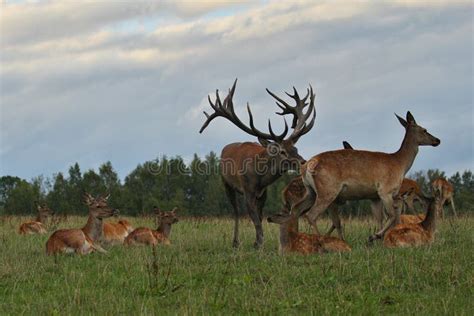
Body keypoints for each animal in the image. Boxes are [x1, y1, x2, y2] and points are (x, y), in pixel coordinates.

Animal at [198, 79, 316, 249]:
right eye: (282, 152)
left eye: (295, 148)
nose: (303, 162)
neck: (260, 178)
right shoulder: (248, 190)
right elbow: (254, 219)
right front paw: (259, 243)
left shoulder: (263, 193)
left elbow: (259, 217)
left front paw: (257, 241)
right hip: (226, 183)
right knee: (235, 210)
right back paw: (235, 241)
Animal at [292, 111, 440, 242]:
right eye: (424, 129)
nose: (437, 140)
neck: (400, 164)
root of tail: (306, 166)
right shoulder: (385, 190)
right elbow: (391, 216)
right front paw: (373, 236)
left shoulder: (374, 197)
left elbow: (380, 219)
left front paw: (378, 241)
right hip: (327, 190)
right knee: (311, 214)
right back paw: (320, 240)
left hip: (311, 192)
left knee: (296, 209)